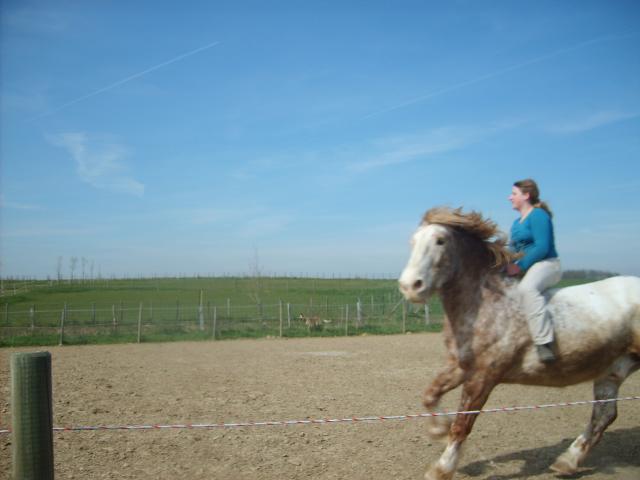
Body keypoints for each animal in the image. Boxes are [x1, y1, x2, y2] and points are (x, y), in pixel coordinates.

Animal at [398, 206, 636, 480]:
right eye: (413, 242)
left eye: (440, 240)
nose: (410, 286)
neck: (486, 303)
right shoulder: (461, 366)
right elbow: (430, 394)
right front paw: (438, 429)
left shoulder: (484, 376)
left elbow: (462, 424)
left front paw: (442, 468)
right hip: (613, 370)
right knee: (604, 415)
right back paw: (566, 462)